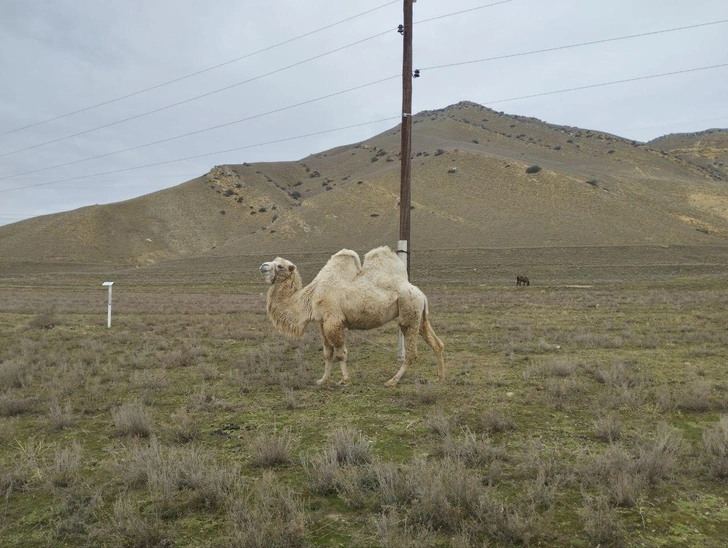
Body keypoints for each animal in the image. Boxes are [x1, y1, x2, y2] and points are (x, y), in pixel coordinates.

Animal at [262, 245, 444, 386]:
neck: (310, 297)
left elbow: (340, 352)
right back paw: (439, 378)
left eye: (280, 266)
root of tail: (420, 293)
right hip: (419, 316)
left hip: (409, 313)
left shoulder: (333, 321)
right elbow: (327, 353)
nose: (263, 266)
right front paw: (322, 380)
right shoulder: (322, 323)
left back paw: (392, 381)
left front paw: (345, 380)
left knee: (412, 352)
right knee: (436, 343)